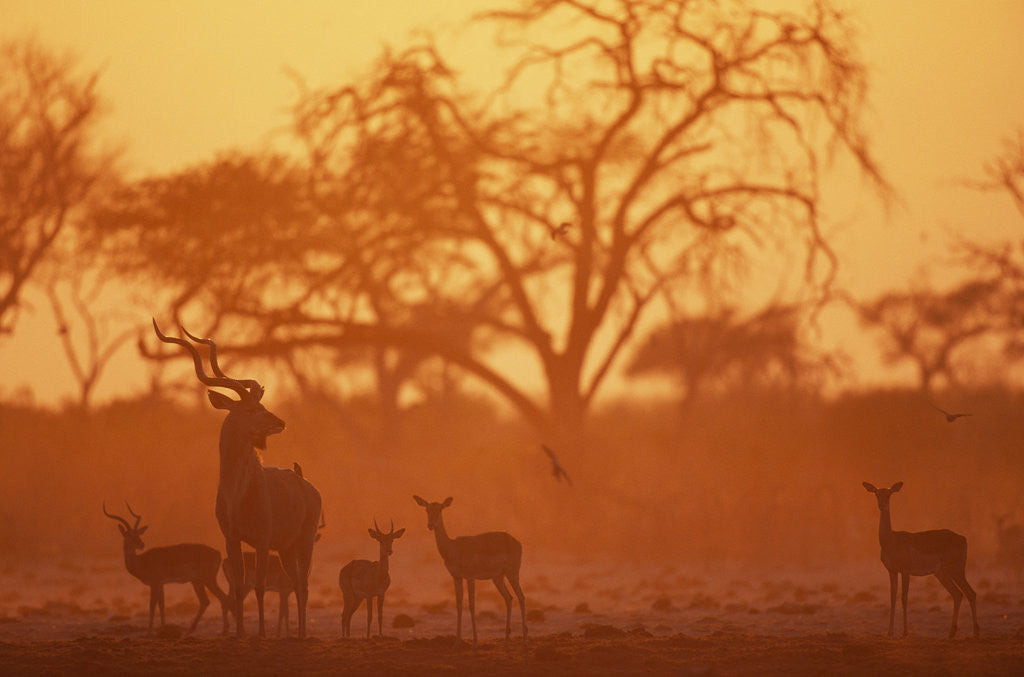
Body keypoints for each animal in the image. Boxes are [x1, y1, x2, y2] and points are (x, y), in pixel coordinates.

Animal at [103, 502, 230, 634]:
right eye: (128, 535)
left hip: (207, 579)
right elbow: (162, 604)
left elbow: (152, 605)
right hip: (197, 581)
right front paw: (163, 628)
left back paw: (223, 630)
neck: (141, 561)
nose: (141, 544)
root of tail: (218, 553)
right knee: (206, 601)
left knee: (221, 598)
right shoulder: (160, 584)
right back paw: (192, 629)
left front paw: (150, 631)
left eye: (138, 534)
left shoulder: (154, 583)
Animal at [153, 320, 322, 638]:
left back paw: (302, 633)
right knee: (296, 583)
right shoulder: (232, 539)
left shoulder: (263, 541)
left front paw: (261, 633)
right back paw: (295, 633)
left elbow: (259, 585)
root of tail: (310, 489)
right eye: (253, 409)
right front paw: (241, 633)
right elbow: (242, 586)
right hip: (287, 548)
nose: (280, 422)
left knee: (303, 584)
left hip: (304, 542)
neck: (238, 494)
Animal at [413, 495, 527, 649]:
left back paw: (525, 641)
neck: (453, 549)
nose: (430, 525)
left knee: (521, 597)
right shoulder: (456, 577)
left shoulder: (470, 577)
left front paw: (474, 643)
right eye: (427, 509)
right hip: (498, 577)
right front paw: (456, 643)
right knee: (509, 598)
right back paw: (506, 642)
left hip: (512, 573)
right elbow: (459, 605)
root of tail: (518, 542)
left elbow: (472, 606)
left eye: (440, 509)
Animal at [863, 482, 980, 638]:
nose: (882, 505)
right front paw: (889, 632)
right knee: (958, 594)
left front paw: (905, 632)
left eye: (888, 494)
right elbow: (892, 598)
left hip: (956, 569)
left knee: (971, 593)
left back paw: (975, 633)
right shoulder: (892, 571)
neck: (890, 541)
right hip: (941, 573)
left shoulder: (905, 571)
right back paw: (951, 633)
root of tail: (963, 538)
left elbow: (904, 598)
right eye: (876, 493)